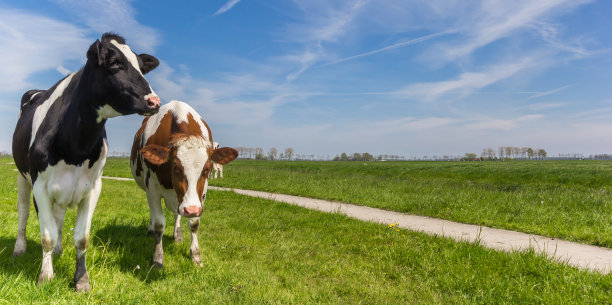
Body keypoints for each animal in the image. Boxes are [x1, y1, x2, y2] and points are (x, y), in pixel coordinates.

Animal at [12, 32, 160, 290]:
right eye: (115, 63)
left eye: (142, 67)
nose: (154, 101)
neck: (75, 147)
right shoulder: (40, 186)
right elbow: (47, 235)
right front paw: (45, 276)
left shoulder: (93, 187)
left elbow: (81, 238)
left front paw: (81, 280)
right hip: (23, 178)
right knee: (24, 212)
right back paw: (20, 248)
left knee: (59, 217)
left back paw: (59, 251)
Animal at [130, 100, 238, 266]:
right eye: (175, 167)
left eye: (207, 169)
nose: (191, 209)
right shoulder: (152, 189)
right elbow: (159, 223)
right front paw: (157, 258)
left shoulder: (201, 193)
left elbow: (194, 224)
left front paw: (196, 256)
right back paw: (150, 231)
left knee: (177, 214)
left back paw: (177, 234)